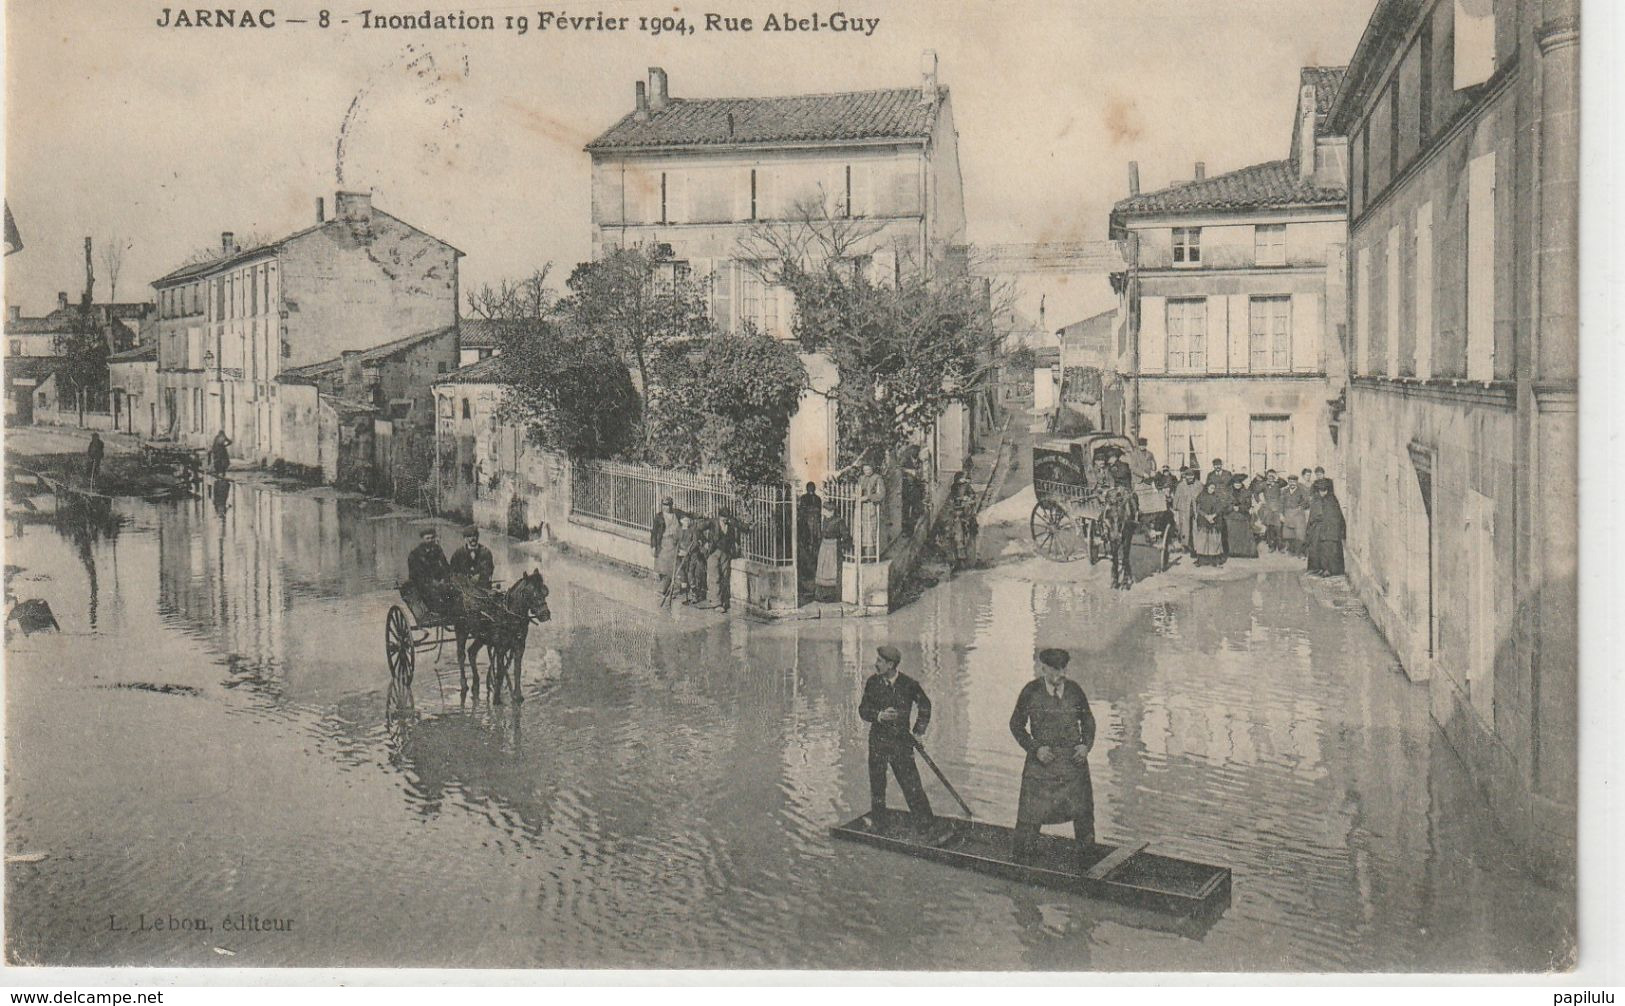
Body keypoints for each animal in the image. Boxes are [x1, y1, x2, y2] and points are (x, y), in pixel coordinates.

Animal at [455, 572, 555, 705]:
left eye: (545, 592)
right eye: (529, 593)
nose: (545, 615)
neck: (509, 614)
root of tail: (464, 590)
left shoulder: (519, 646)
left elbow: (517, 670)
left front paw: (517, 696)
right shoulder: (500, 648)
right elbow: (500, 672)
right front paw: (496, 699)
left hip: (481, 636)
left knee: (472, 652)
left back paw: (476, 682)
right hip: (461, 631)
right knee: (461, 655)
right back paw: (464, 684)